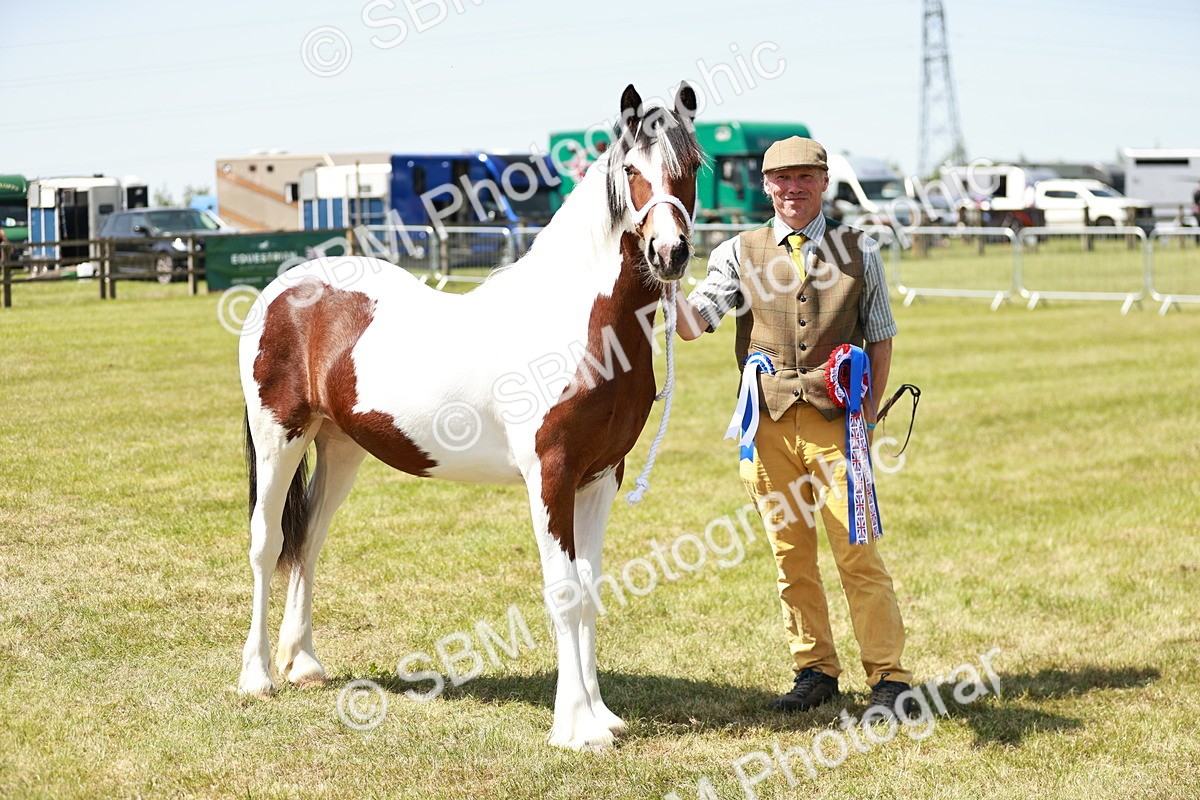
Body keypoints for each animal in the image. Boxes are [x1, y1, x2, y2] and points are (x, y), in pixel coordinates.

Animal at [237, 82, 702, 751]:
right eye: (632, 171)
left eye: (690, 168)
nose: (670, 253)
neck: (577, 321)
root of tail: (284, 289)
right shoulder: (551, 477)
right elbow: (564, 591)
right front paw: (574, 728)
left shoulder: (600, 478)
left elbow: (590, 589)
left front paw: (602, 717)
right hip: (280, 436)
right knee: (267, 542)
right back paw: (257, 677)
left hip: (341, 446)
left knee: (310, 540)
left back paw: (304, 665)